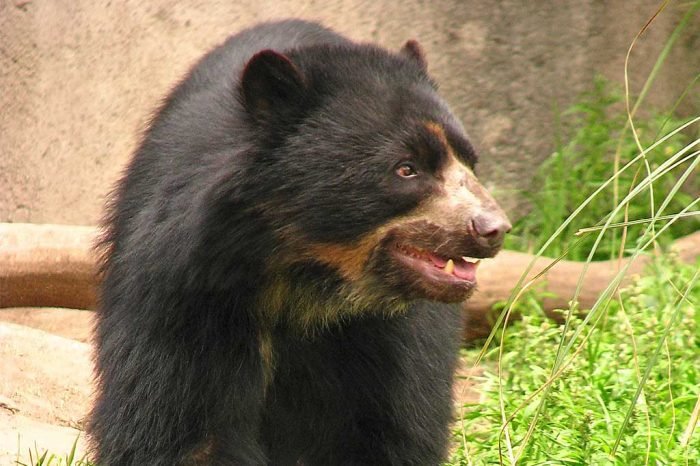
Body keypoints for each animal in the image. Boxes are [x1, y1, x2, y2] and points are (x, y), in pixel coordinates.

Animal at [88, 19, 511, 466]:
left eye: (470, 162)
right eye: (406, 168)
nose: (492, 229)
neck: (302, 280)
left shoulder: (396, 333)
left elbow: (397, 426)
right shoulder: (186, 292)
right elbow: (179, 427)